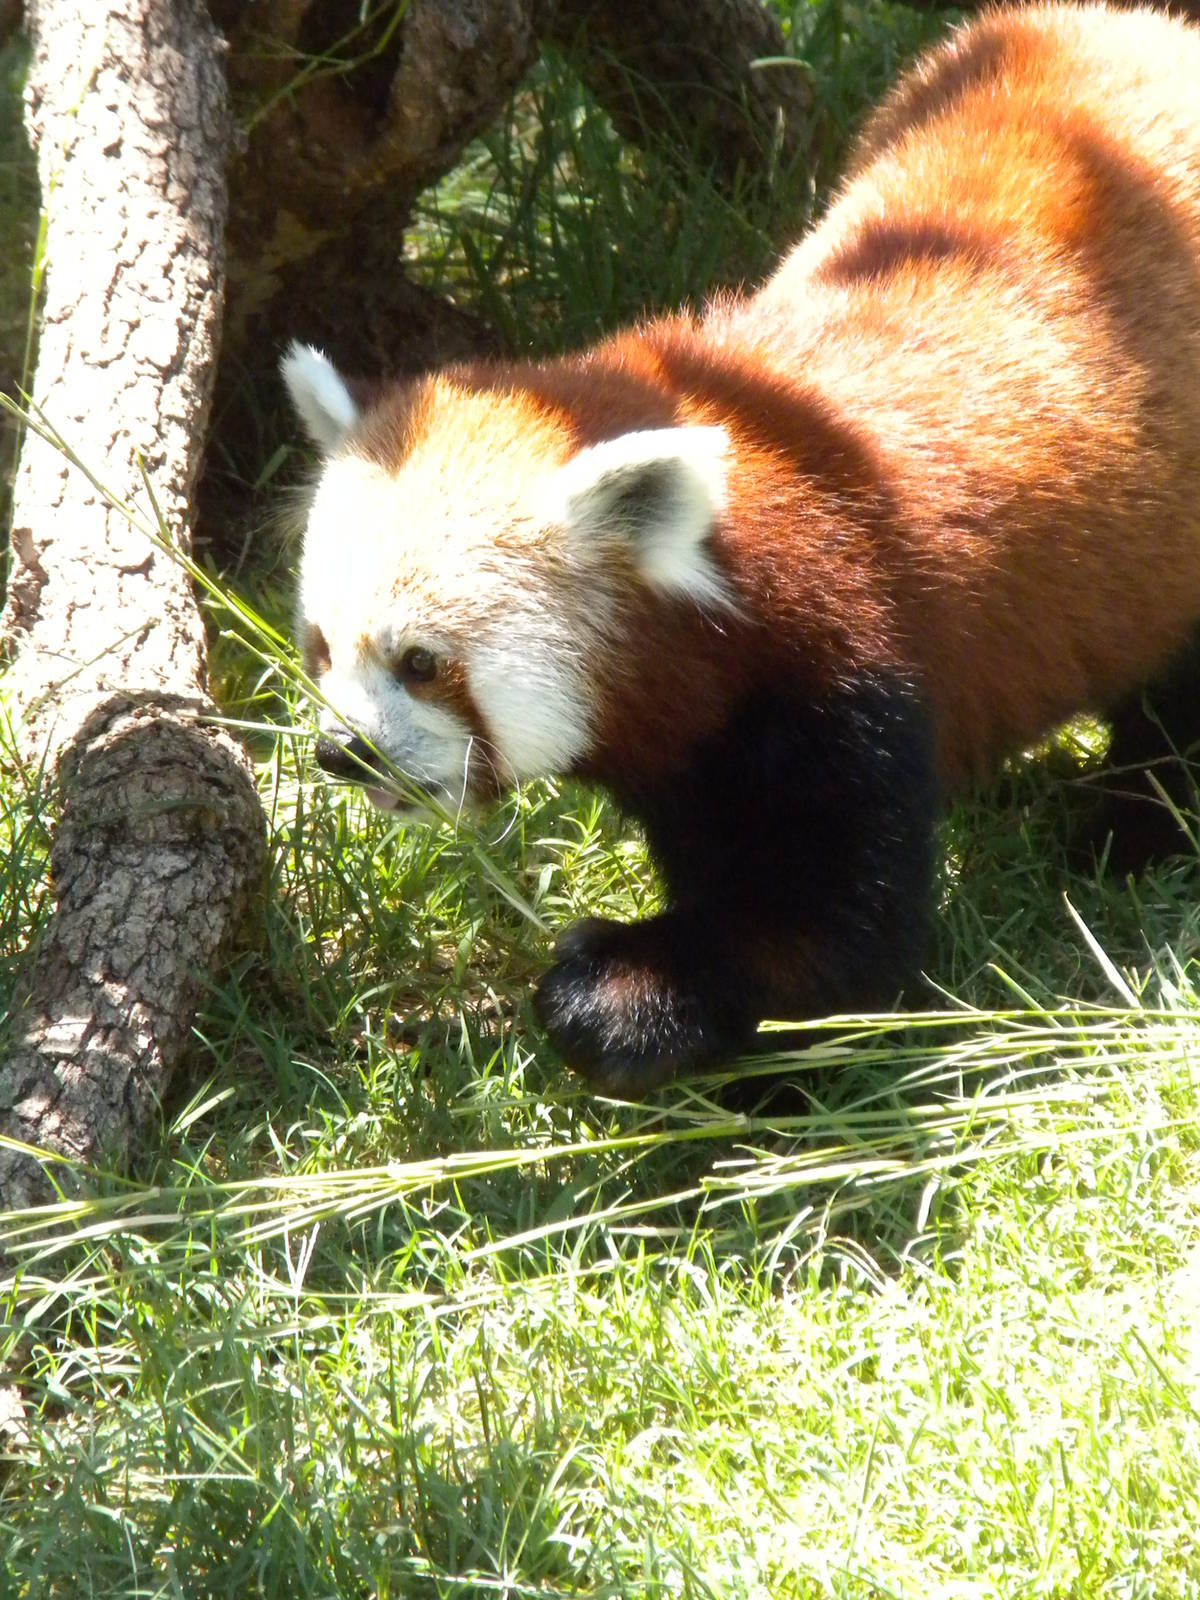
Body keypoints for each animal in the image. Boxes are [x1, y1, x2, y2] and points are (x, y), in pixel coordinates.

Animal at [283, 3, 1200, 1097]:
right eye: (320, 649)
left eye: (422, 663)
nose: (341, 751)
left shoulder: (846, 668)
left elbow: (831, 943)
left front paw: (626, 996)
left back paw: (1137, 828)